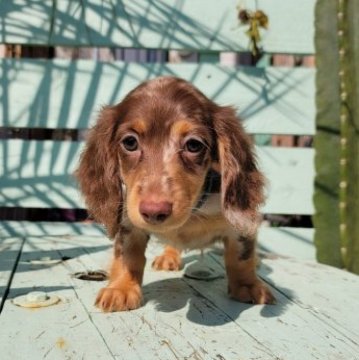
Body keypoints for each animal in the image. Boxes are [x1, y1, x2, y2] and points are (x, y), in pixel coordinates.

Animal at [77, 76, 276, 312]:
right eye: (130, 142)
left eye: (194, 145)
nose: (154, 212)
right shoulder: (129, 222)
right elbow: (127, 255)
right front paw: (121, 287)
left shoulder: (239, 225)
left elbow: (241, 257)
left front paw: (248, 285)